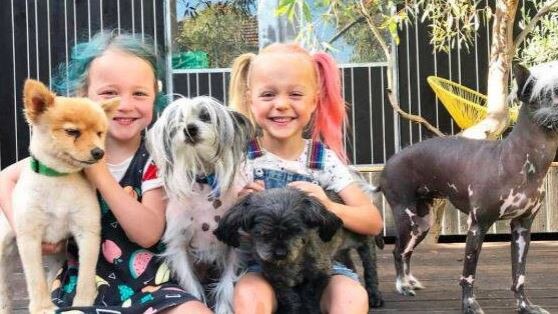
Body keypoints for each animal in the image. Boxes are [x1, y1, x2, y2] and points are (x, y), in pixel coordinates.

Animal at [0, 79, 118, 314]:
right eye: (72, 132)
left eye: (100, 133)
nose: (98, 152)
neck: (59, 179)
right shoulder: (29, 237)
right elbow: (34, 279)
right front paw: (41, 307)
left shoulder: (87, 232)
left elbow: (85, 275)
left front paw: (83, 302)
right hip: (4, 246)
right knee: (5, 286)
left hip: (57, 257)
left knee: (50, 278)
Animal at [148, 96, 255, 314]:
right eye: (178, 121)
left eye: (206, 116)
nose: (189, 128)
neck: (205, 181)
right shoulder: (179, 244)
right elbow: (190, 283)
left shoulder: (234, 247)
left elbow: (226, 286)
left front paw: (223, 307)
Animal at [215, 188, 384, 312]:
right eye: (263, 233)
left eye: (296, 230)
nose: (280, 253)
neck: (293, 261)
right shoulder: (277, 280)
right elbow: (290, 299)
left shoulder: (319, 274)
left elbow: (310, 297)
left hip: (365, 242)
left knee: (370, 270)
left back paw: (374, 295)